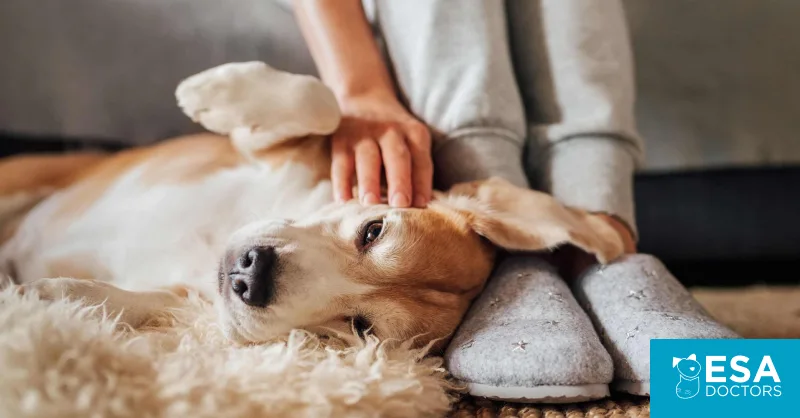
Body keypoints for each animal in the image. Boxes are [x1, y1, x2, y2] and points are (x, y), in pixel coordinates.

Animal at [0, 62, 624, 350]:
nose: (251, 274)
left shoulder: (188, 297)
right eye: (373, 230)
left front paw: (53, 297)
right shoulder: (269, 151)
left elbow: (143, 302)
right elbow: (321, 103)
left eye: (360, 326)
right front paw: (214, 93)